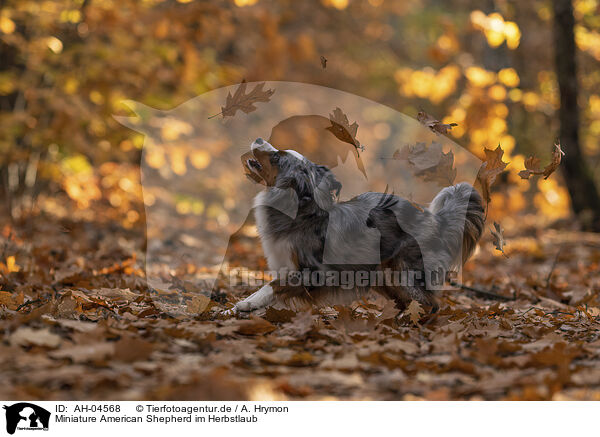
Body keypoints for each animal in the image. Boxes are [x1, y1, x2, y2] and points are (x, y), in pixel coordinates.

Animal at [232, 139, 486, 314]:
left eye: (277, 158)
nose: (258, 138)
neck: (302, 211)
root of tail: (436, 219)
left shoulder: (317, 273)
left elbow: (274, 285)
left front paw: (247, 303)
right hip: (380, 275)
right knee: (407, 301)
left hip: (407, 272)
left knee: (429, 303)